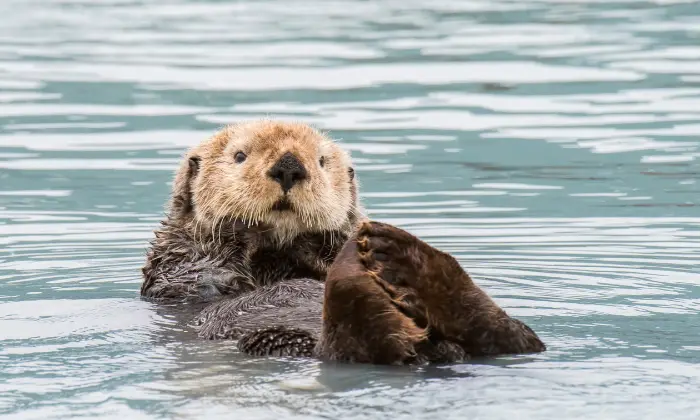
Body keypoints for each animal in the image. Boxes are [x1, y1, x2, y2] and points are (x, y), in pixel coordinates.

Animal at [141, 119, 548, 364]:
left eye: (321, 161)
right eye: (239, 155)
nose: (289, 165)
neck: (278, 257)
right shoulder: (175, 265)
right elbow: (201, 276)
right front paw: (241, 231)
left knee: (516, 338)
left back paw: (404, 260)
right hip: (278, 340)